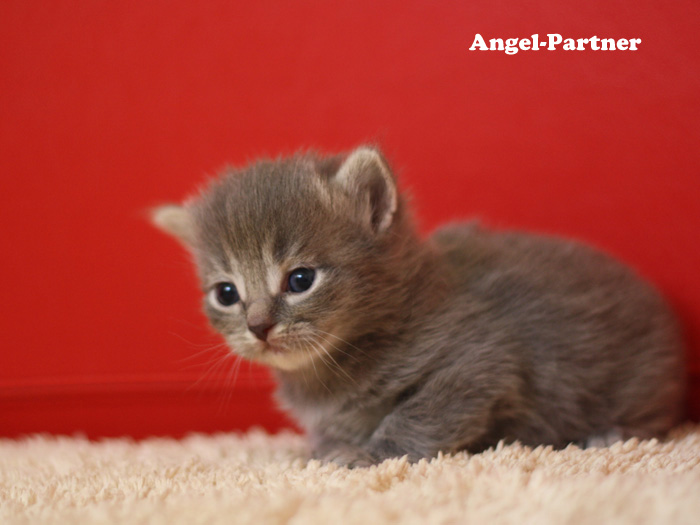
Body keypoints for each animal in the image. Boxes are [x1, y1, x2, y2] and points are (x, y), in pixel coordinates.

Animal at [153, 145, 684, 464]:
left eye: (301, 279)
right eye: (226, 293)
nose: (259, 326)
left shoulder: (479, 362)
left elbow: (415, 415)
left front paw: (367, 454)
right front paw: (322, 452)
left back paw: (607, 435)